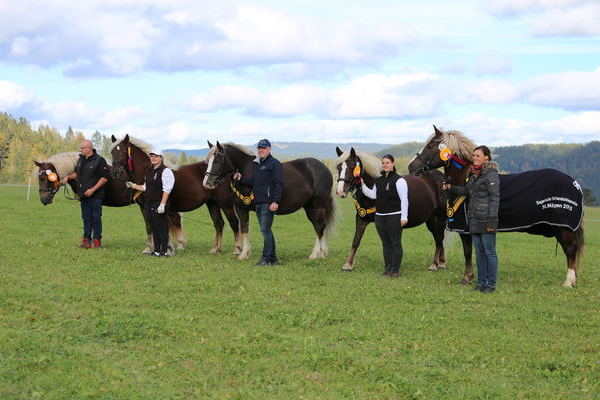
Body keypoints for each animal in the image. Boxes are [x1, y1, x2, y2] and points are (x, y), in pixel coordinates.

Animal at [204, 141, 338, 262]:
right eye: (207, 161)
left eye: (218, 160)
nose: (207, 183)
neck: (249, 172)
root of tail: (325, 169)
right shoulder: (241, 208)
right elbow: (244, 229)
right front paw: (244, 253)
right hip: (310, 207)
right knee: (321, 227)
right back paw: (322, 253)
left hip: (316, 206)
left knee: (319, 227)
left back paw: (315, 254)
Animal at [408, 126, 584, 286]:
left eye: (430, 145)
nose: (411, 166)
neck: (467, 181)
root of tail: (575, 184)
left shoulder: (465, 230)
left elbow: (467, 251)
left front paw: (467, 277)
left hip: (563, 228)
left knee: (570, 250)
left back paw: (569, 281)